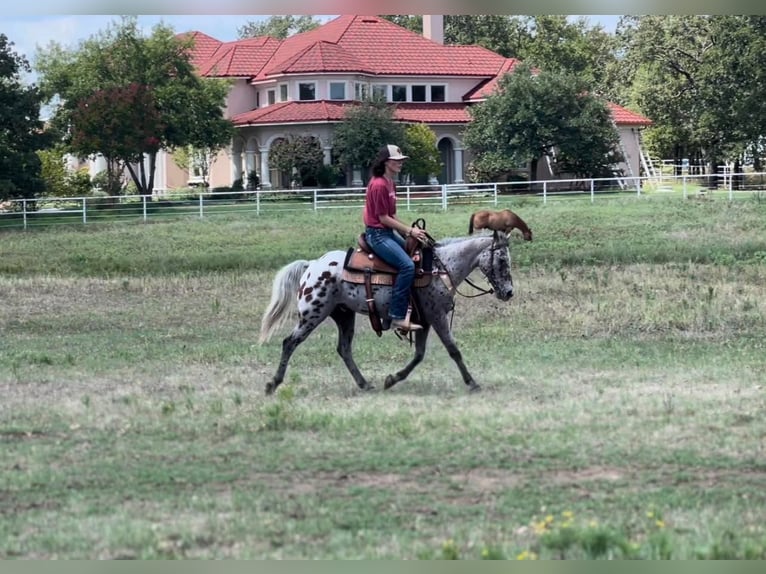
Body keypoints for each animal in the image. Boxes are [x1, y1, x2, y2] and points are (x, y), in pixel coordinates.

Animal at [260, 232, 516, 394]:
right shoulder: (437, 317)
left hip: (344, 315)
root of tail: (312, 265)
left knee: (344, 349)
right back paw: (273, 383)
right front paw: (472, 383)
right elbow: (454, 350)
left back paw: (364, 384)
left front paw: (392, 379)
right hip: (313, 313)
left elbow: (419, 355)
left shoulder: (423, 321)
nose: (509, 292)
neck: (440, 268)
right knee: (289, 342)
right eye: (503, 260)